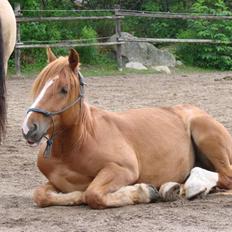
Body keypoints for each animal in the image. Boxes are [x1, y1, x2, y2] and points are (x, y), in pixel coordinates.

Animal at [21, 48, 232, 208]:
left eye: (64, 89)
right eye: (38, 86)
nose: (29, 128)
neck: (77, 144)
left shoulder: (123, 169)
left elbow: (92, 194)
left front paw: (143, 191)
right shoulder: (54, 182)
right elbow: (40, 195)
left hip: (206, 135)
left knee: (225, 175)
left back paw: (192, 186)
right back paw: (174, 188)